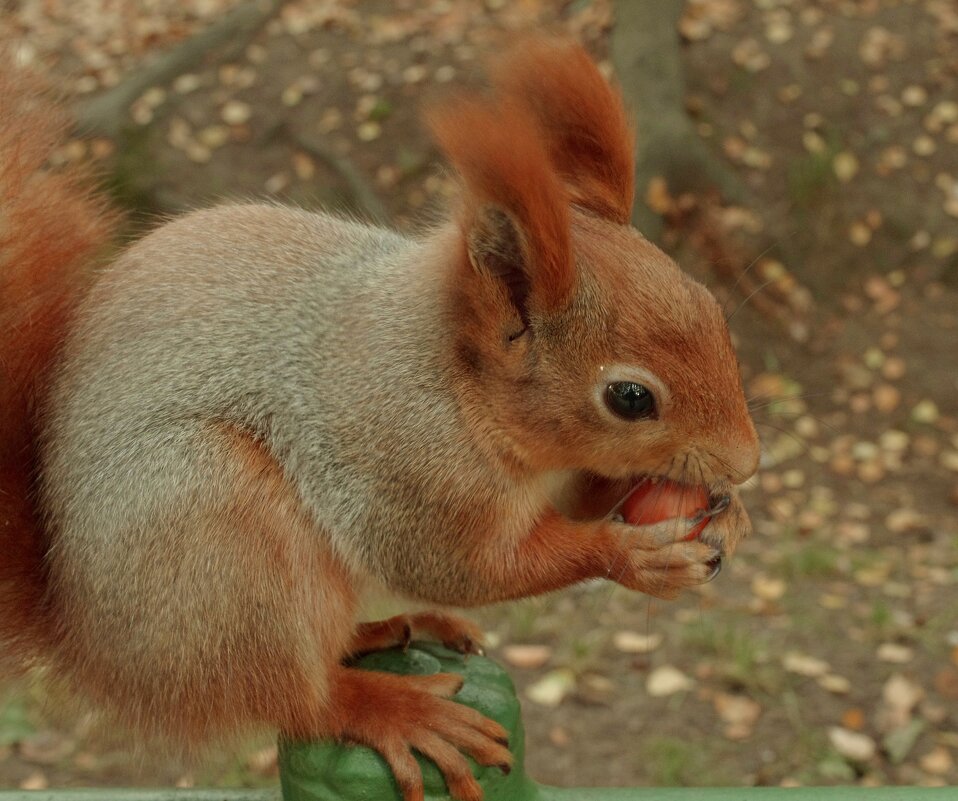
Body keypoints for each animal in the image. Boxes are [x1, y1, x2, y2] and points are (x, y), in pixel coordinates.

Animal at [3, 39, 760, 801]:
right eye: (630, 398)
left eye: (712, 307)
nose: (747, 462)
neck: (455, 383)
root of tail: (95, 651)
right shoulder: (410, 468)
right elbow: (467, 566)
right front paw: (635, 555)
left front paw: (724, 511)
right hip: (217, 533)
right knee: (293, 699)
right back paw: (390, 708)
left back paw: (391, 629)